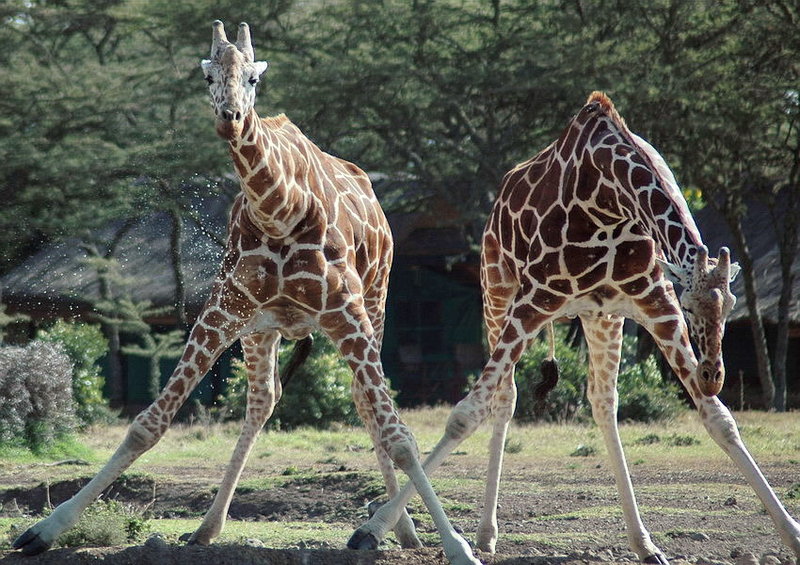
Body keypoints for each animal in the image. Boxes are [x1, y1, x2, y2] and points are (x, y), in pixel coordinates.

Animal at [12, 22, 478, 564]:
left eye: (254, 77)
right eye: (208, 76)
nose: (230, 119)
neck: (279, 210)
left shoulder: (346, 311)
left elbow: (399, 435)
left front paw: (457, 546)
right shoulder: (223, 308)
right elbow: (148, 423)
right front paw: (44, 529)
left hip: (375, 303)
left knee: (364, 403)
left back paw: (394, 530)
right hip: (263, 328)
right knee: (263, 398)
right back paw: (207, 528)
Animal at [348, 92, 800, 560]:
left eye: (730, 305)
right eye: (692, 307)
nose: (712, 374)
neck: (611, 198)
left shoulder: (654, 305)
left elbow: (720, 420)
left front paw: (792, 533)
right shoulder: (535, 298)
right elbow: (463, 416)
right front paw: (373, 527)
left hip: (600, 316)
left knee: (602, 401)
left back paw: (643, 543)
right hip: (497, 293)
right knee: (504, 399)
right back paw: (486, 533)